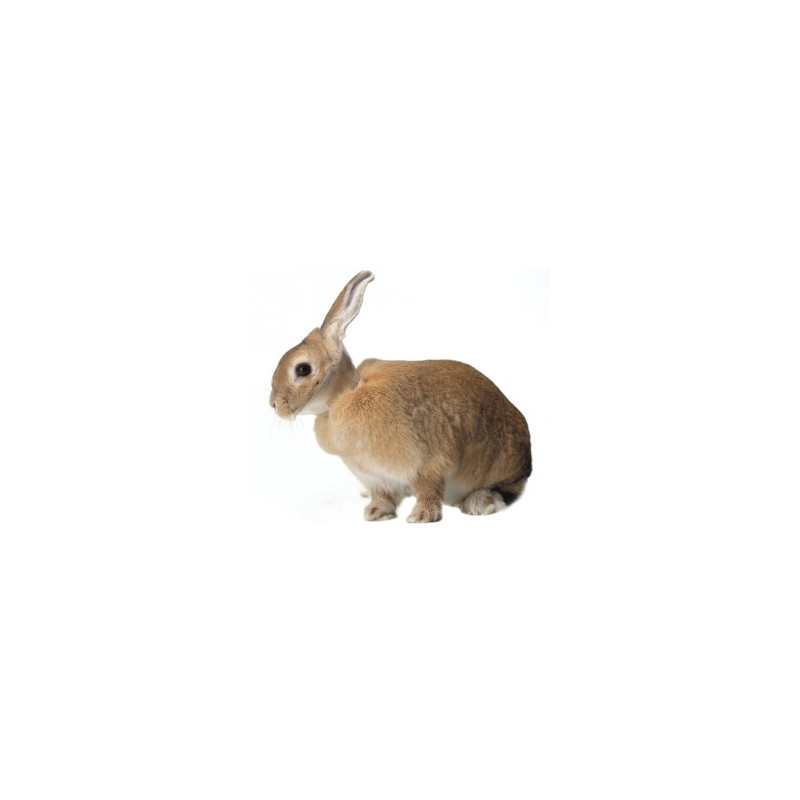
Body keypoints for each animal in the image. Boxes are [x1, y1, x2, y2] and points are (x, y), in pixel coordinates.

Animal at [269, 271, 531, 523]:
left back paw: (481, 504)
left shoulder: (426, 462)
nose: (273, 404)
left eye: (303, 369)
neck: (345, 394)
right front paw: (376, 513)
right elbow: (382, 495)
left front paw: (421, 517)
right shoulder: (374, 476)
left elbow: (428, 488)